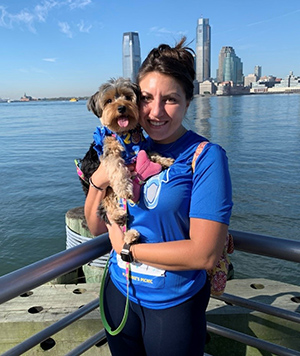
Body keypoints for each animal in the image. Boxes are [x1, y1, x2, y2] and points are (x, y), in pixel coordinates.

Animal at [80, 77, 173, 245]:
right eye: (109, 100)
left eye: (128, 97)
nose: (121, 107)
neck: (124, 134)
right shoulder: (109, 153)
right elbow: (118, 170)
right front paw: (124, 188)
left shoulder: (143, 148)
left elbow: (153, 153)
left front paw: (166, 160)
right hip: (102, 190)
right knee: (107, 206)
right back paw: (121, 220)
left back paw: (130, 235)